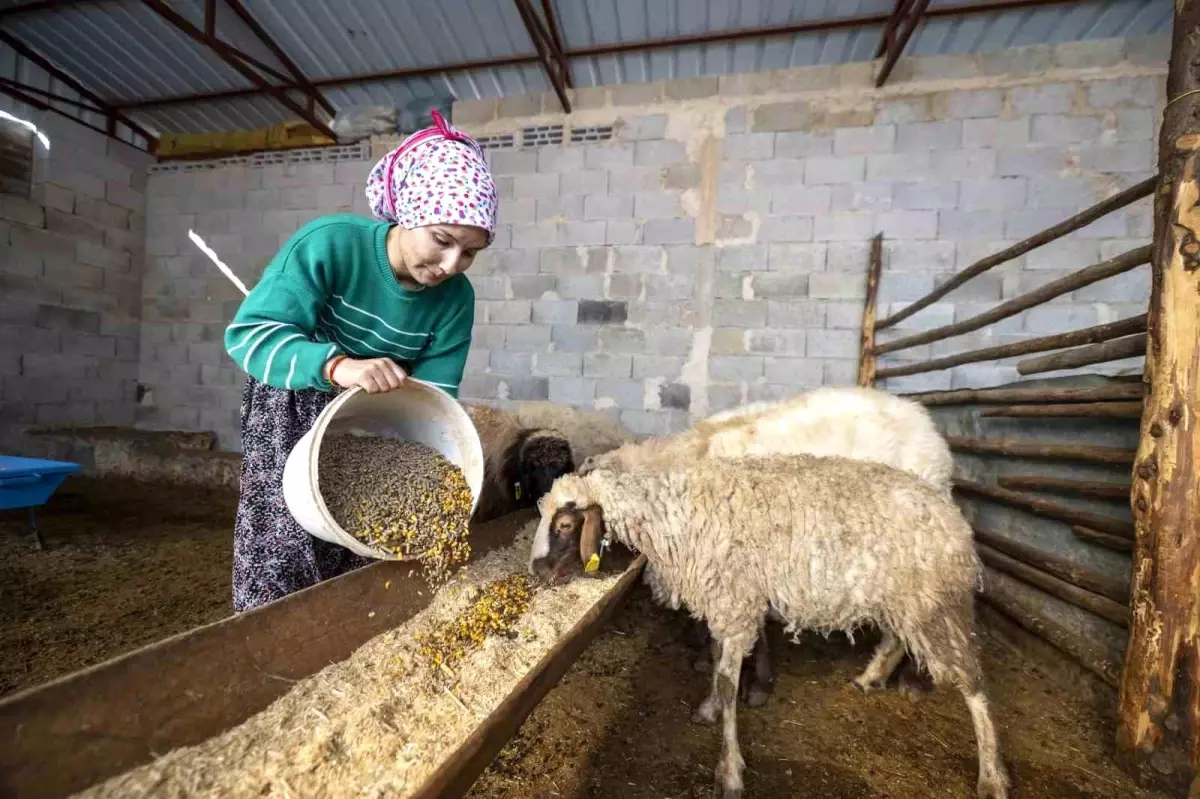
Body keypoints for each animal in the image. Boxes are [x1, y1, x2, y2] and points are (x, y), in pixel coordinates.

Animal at [530, 453, 1008, 796]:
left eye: (566, 524)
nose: (536, 570)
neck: (674, 516)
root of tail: (953, 516)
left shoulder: (735, 601)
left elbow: (728, 682)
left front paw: (729, 771)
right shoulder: (728, 602)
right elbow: (718, 661)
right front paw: (709, 709)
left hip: (936, 603)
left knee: (973, 681)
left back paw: (991, 775)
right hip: (903, 598)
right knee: (895, 639)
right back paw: (869, 678)